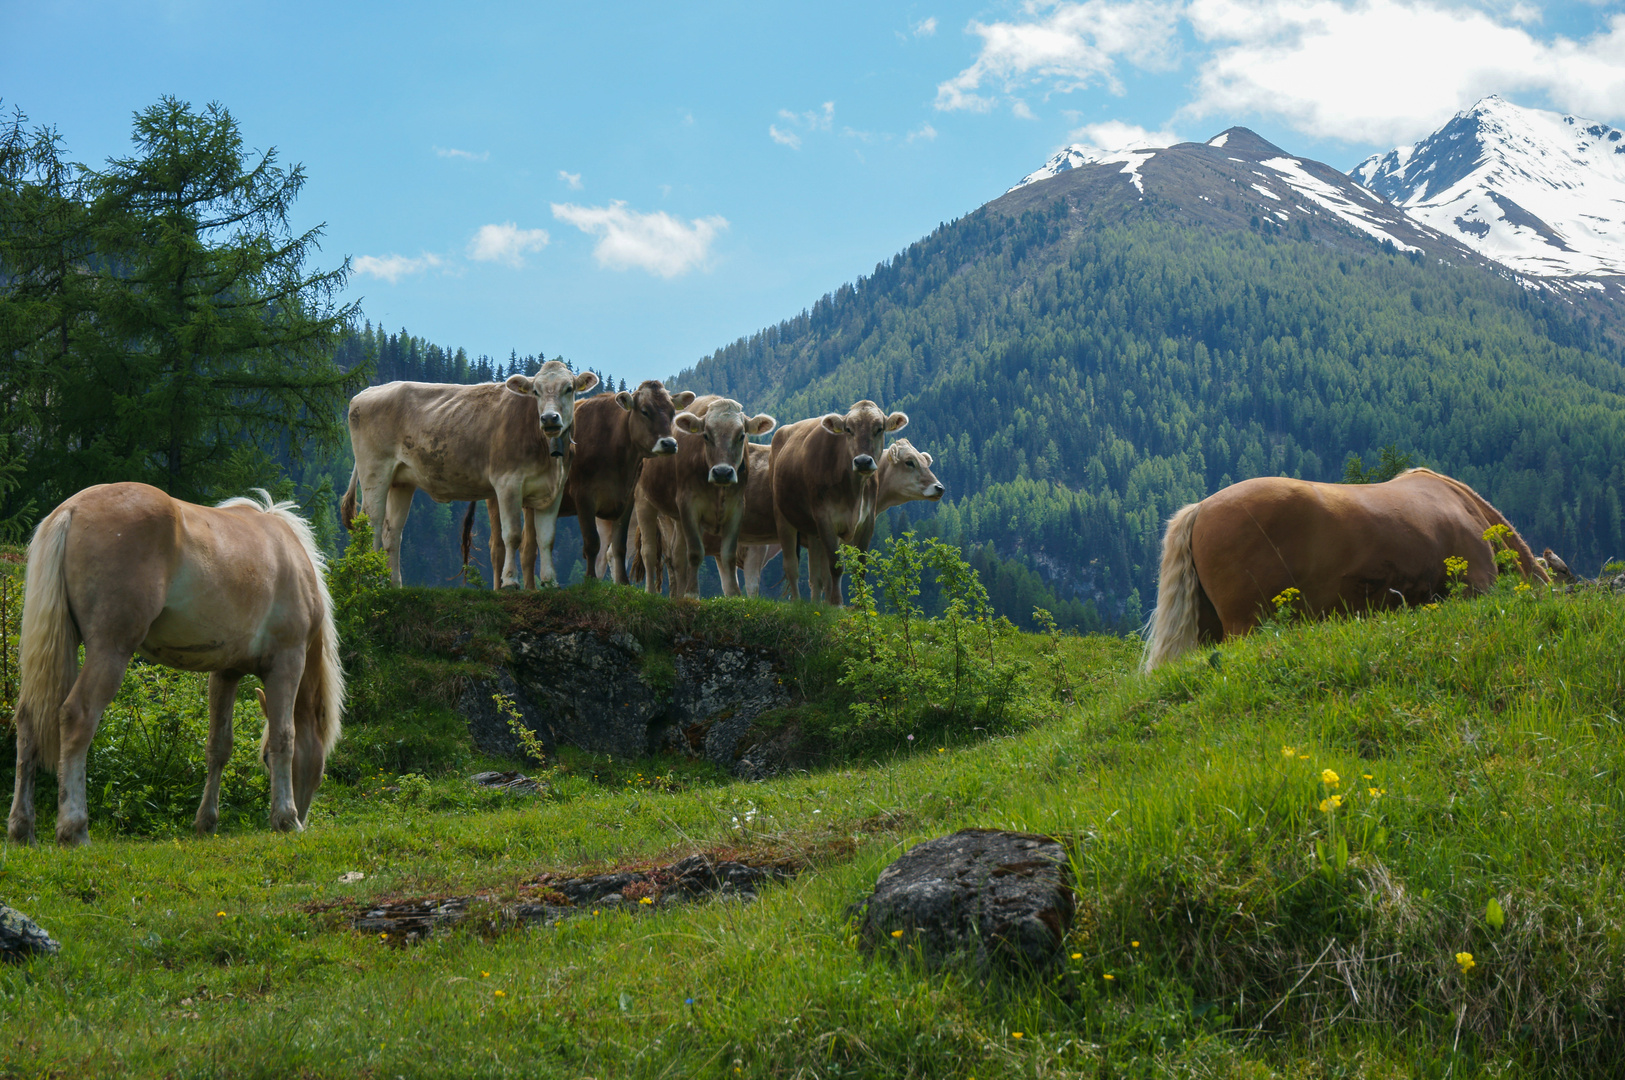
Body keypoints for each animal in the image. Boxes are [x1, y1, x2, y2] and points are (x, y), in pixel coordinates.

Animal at [5, 480, 342, 844]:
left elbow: (218, 746)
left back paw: (22, 828)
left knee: (28, 721)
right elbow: (285, 736)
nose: (303, 816)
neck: (290, 555)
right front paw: (285, 818)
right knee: (77, 717)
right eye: (264, 758)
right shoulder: (287, 662)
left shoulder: (226, 672)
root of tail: (72, 509)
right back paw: (74, 828)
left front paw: (206, 822)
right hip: (110, 650)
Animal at [342, 357, 598, 584]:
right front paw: (509, 580)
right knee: (371, 524)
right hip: (375, 469)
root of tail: (366, 392)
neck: (547, 457)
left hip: (401, 481)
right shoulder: (508, 483)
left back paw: (393, 584)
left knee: (392, 532)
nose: (549, 418)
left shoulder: (553, 490)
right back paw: (367, 580)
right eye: (536, 391)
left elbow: (547, 539)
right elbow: (512, 535)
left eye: (568, 388)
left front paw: (549, 582)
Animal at [633, 396, 773, 597]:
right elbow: (695, 552)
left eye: (741, 435)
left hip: (676, 517)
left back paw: (677, 596)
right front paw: (692, 594)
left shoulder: (737, 508)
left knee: (677, 556)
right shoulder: (689, 505)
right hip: (644, 501)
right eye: (706, 435)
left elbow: (728, 555)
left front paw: (734, 595)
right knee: (649, 551)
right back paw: (652, 592)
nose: (722, 472)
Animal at [767, 397, 910, 600]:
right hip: (782, 516)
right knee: (791, 566)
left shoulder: (867, 521)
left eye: (879, 429)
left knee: (815, 576)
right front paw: (836, 602)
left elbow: (859, 566)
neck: (854, 493)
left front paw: (859, 603)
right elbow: (835, 566)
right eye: (849, 430)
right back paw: (797, 601)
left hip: (813, 532)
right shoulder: (825, 518)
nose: (863, 461)